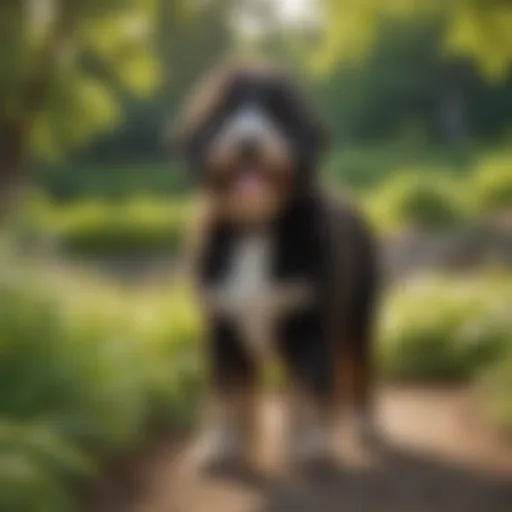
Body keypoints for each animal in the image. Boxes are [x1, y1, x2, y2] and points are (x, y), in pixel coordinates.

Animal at [174, 60, 378, 468]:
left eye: (275, 110)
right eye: (226, 110)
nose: (247, 143)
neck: (256, 229)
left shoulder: (309, 321)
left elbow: (309, 390)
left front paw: (311, 444)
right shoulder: (222, 326)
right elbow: (226, 393)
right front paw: (222, 444)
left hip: (358, 318)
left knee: (357, 370)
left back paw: (358, 423)